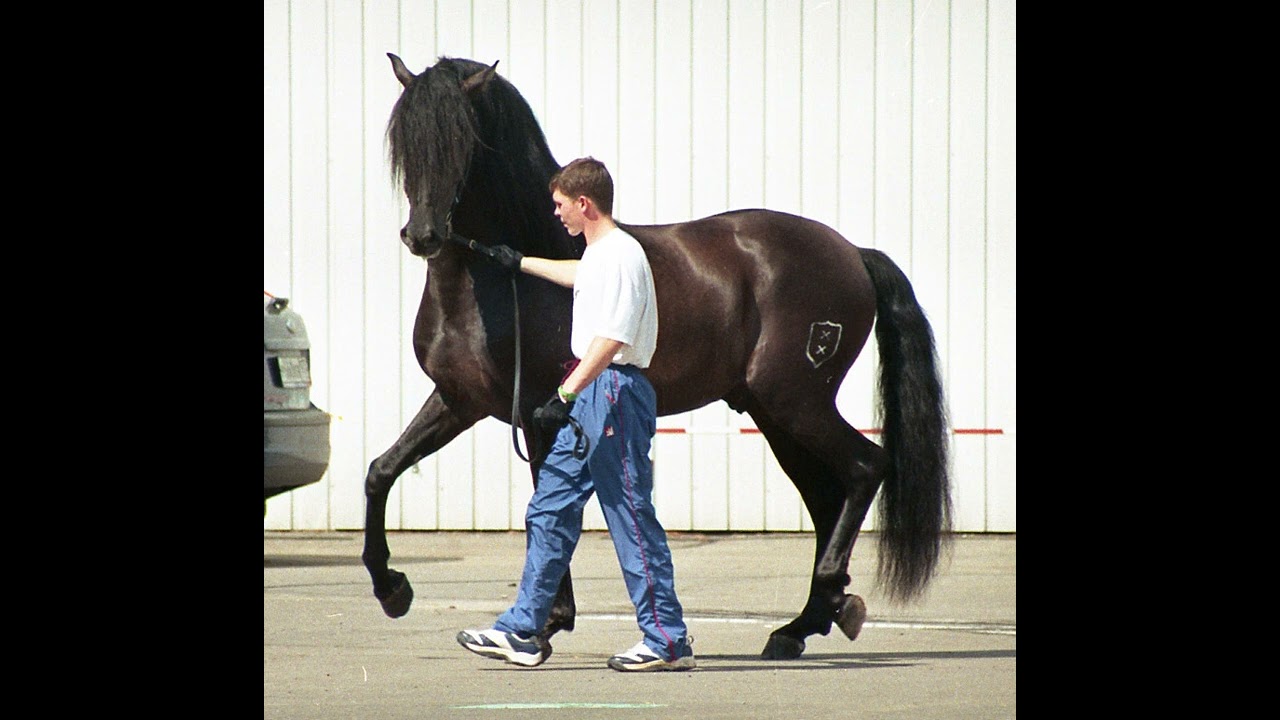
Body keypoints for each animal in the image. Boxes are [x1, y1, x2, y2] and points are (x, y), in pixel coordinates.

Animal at [362, 54, 951, 661]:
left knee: (865, 467)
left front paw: (542, 626)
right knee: (827, 496)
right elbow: (381, 470)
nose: (424, 236)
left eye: (464, 143)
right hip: (777, 415)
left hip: (797, 403)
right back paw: (804, 623)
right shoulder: (460, 401)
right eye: (406, 141)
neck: (501, 278)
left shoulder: (538, 412)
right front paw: (392, 589)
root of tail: (853, 253)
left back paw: (826, 602)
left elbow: (545, 513)